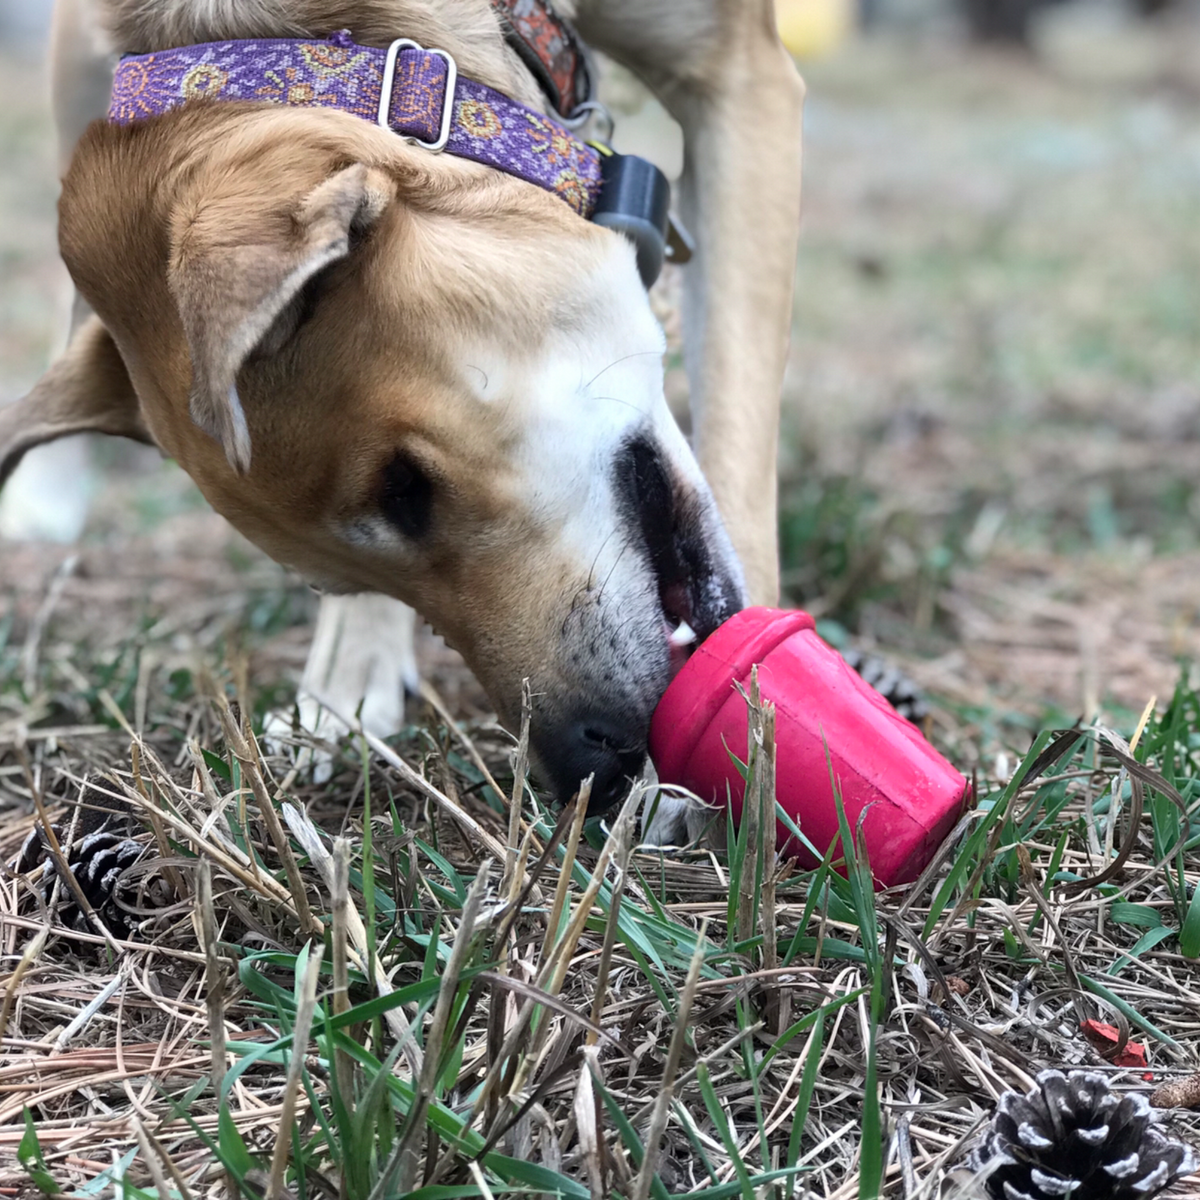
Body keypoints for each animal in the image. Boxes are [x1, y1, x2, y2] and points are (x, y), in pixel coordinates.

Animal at [2, 0, 806, 816]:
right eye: (337, 580)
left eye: (404, 486)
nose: (592, 767)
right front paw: (347, 681)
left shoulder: (742, 78)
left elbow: (737, 440)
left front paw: (746, 743)